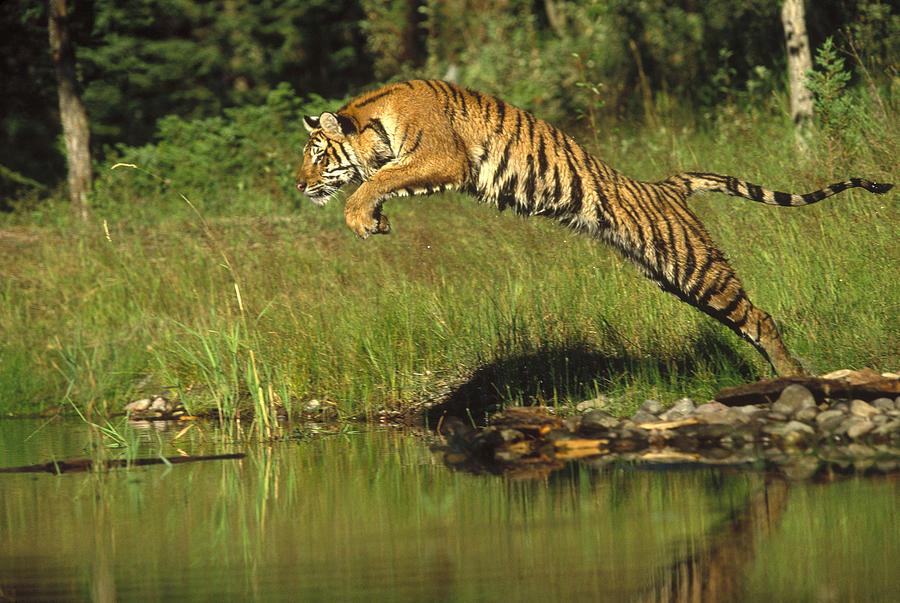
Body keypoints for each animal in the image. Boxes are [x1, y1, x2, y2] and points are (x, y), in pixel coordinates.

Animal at [298, 78, 892, 376]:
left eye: (316, 155)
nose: (300, 185)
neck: (374, 119)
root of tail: (666, 184)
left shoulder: (444, 157)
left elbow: (377, 179)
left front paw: (361, 217)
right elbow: (383, 180)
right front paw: (377, 219)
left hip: (697, 267)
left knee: (761, 318)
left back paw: (794, 377)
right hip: (677, 278)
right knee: (747, 319)